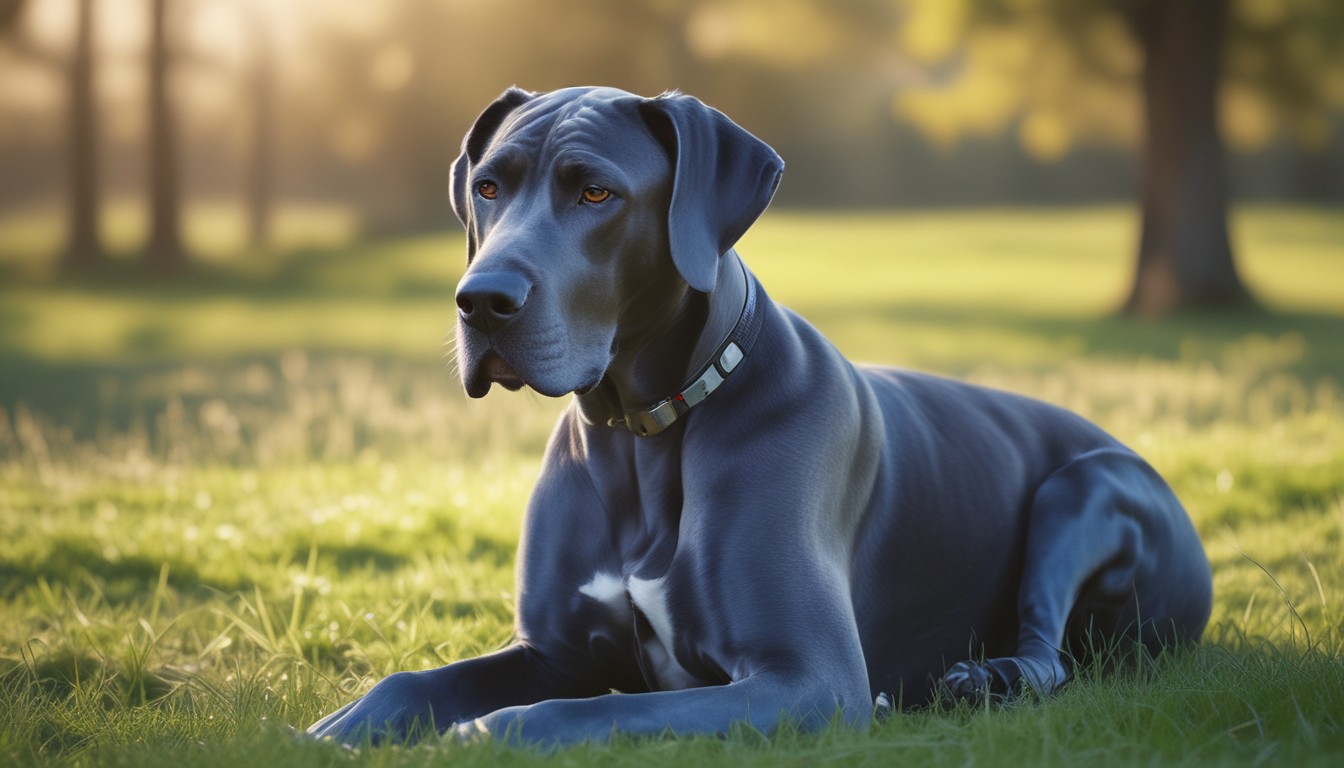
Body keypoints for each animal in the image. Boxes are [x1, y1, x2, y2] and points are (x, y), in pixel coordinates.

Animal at [309, 87, 1214, 747]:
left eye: (597, 192)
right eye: (488, 186)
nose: (481, 301)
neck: (643, 434)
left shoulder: (807, 679)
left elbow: (599, 709)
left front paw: (483, 732)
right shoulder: (552, 652)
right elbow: (412, 680)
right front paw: (338, 727)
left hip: (1087, 487)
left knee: (1047, 654)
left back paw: (984, 679)